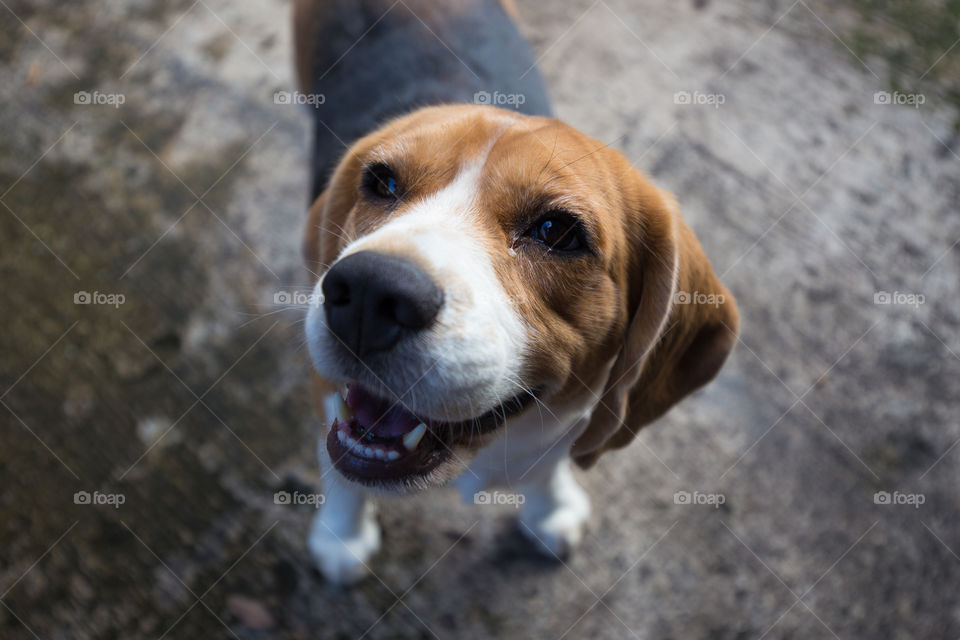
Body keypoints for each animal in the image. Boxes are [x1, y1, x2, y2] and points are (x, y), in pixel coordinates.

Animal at [296, 0, 740, 584]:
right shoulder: (325, 390)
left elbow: (548, 464)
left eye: (557, 231)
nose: (369, 294)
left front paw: (552, 509)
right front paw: (341, 537)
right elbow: (339, 467)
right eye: (383, 183)